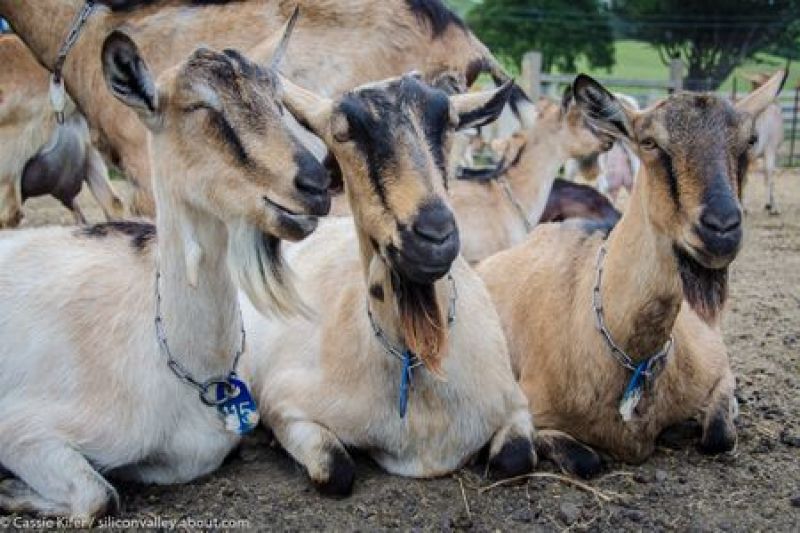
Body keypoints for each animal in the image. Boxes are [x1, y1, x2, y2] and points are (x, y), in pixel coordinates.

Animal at [240, 73, 535, 496]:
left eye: (449, 123)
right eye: (343, 133)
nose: (434, 235)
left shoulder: (515, 404)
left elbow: (517, 459)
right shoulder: (285, 402)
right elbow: (335, 470)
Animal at [478, 72, 783, 477]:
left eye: (749, 140)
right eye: (650, 142)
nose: (721, 229)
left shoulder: (716, 360)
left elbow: (720, 433)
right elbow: (567, 459)